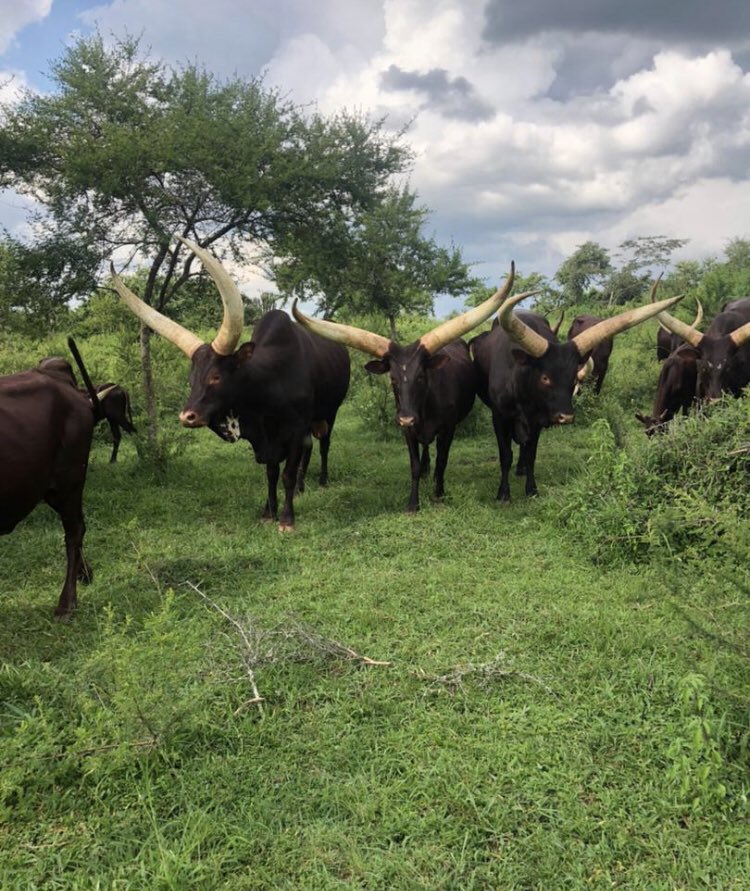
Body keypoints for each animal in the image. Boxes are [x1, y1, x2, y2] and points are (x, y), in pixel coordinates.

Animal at [113, 237, 352, 528]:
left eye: (216, 376)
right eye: (191, 379)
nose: (187, 417)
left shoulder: (295, 429)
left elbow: (286, 473)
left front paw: (286, 519)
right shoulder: (269, 441)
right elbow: (272, 473)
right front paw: (268, 512)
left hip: (331, 412)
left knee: (324, 445)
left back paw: (322, 480)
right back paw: (301, 487)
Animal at [294, 262, 524, 512]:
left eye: (421, 376)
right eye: (393, 378)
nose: (406, 418)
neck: (425, 408)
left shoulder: (448, 428)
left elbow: (442, 461)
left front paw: (438, 494)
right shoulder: (408, 432)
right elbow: (413, 465)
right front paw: (413, 502)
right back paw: (425, 470)